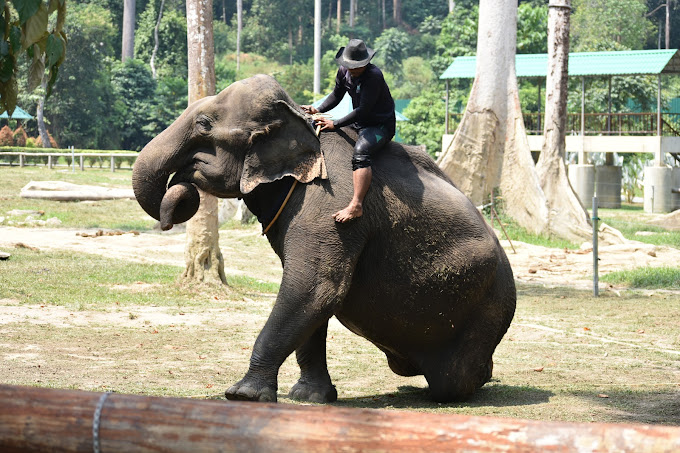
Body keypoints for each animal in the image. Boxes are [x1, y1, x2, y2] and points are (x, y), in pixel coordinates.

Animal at [131, 74, 516, 402]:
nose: (180, 190)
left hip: (486, 308)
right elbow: (310, 297)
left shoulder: (328, 204)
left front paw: (242, 395)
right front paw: (310, 397)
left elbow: (314, 287)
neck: (297, 119)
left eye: (204, 124)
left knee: (454, 381)